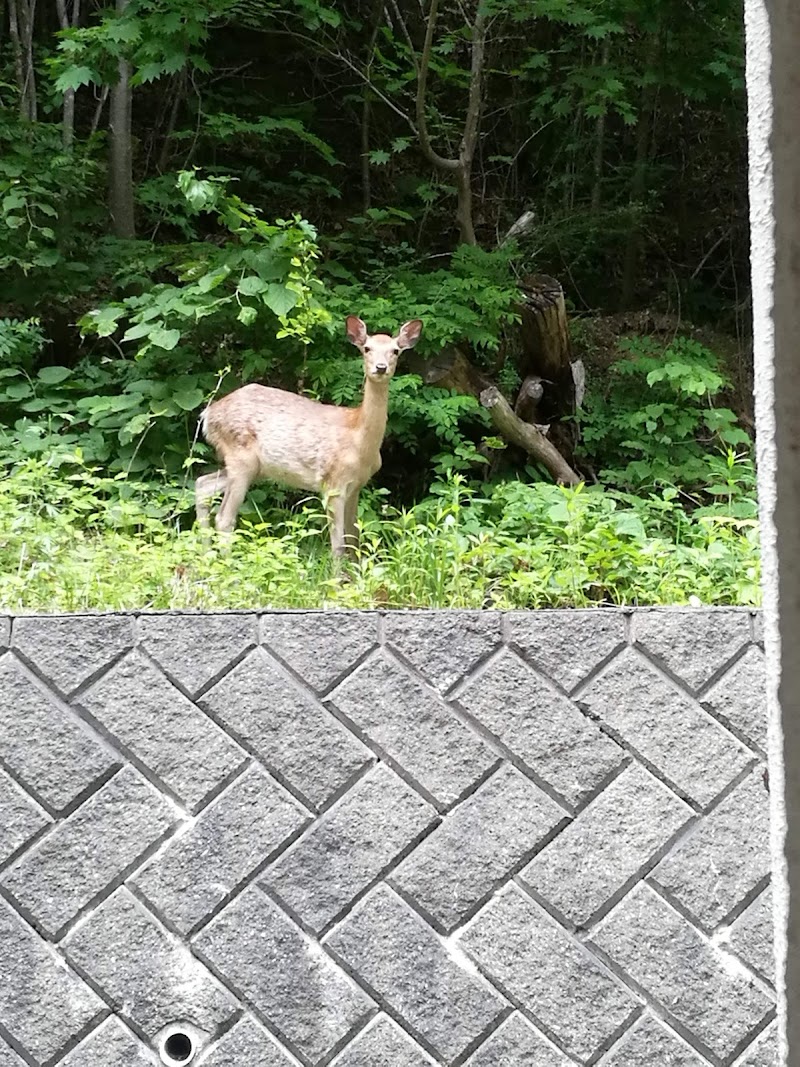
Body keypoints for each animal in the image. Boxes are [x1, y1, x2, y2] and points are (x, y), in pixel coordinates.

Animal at [195, 315, 426, 559]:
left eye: (395, 351)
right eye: (367, 348)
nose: (380, 368)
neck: (359, 440)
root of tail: (208, 415)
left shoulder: (356, 486)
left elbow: (354, 539)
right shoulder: (333, 483)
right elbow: (338, 546)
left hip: (254, 467)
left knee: (202, 485)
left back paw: (206, 556)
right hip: (241, 457)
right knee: (224, 517)